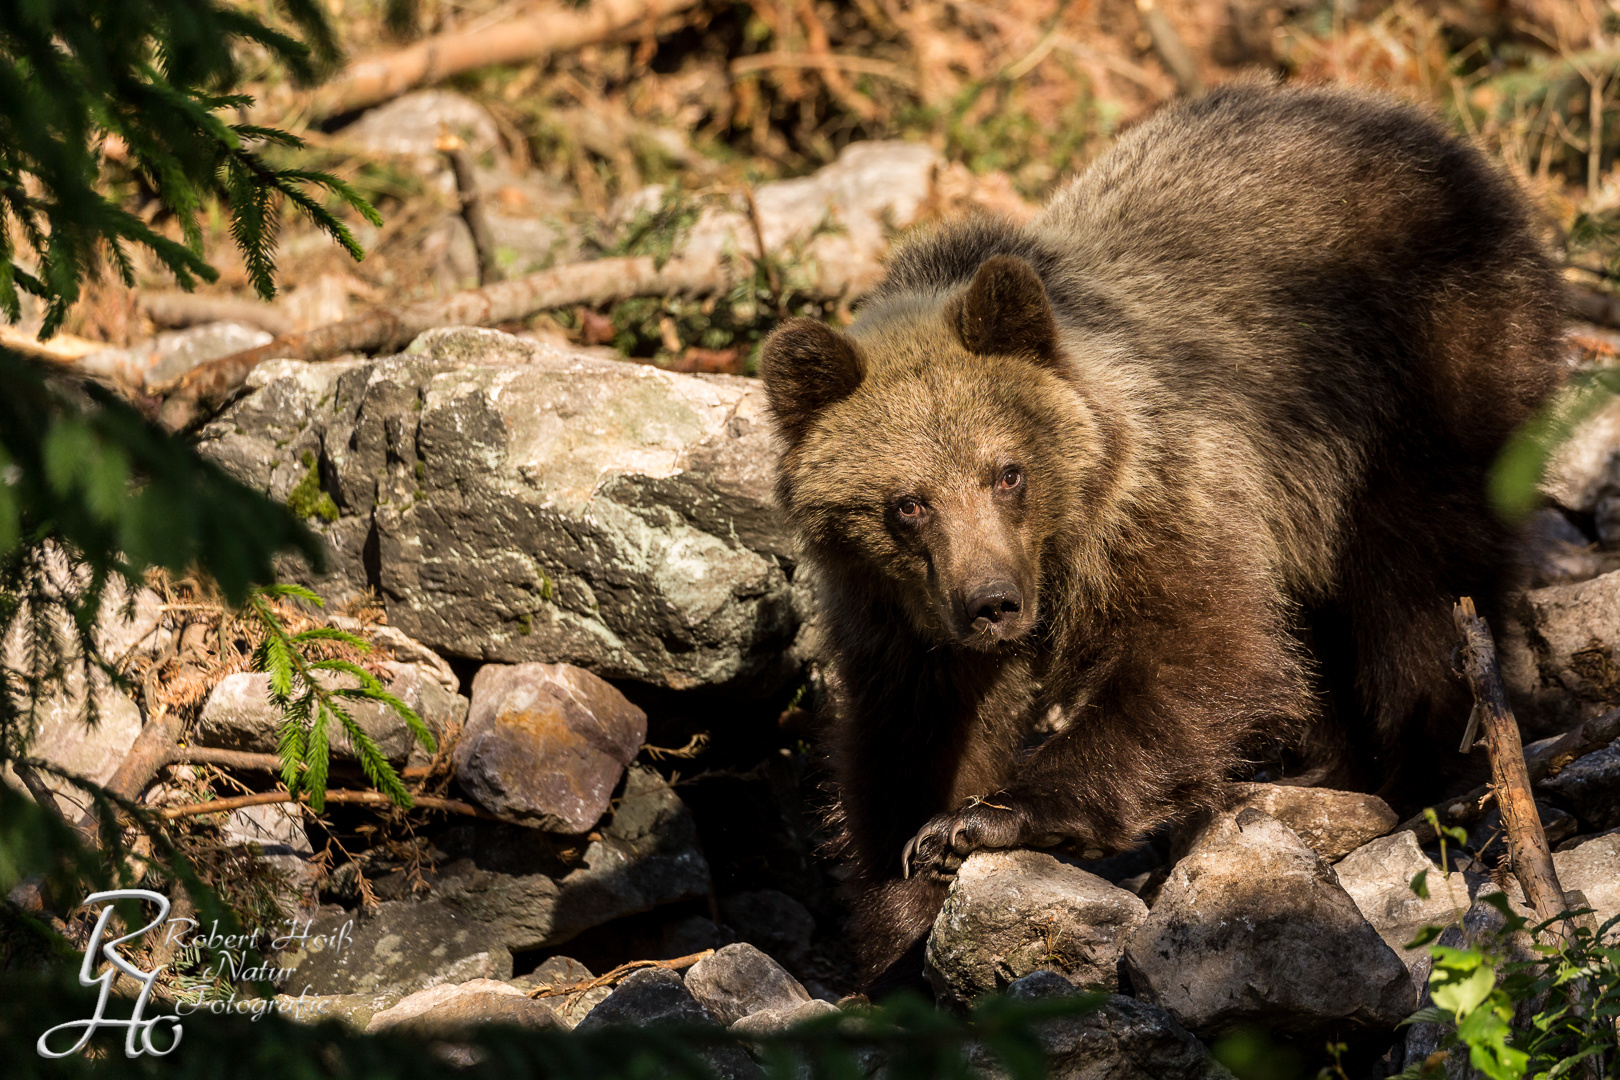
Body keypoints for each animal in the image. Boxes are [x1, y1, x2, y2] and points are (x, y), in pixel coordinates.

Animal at [754, 84, 1568, 990]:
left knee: (1417, 581)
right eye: (907, 504)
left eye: (1008, 471)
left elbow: (1203, 649)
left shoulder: (1161, 495)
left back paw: (1424, 769)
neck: (1060, 549)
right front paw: (897, 909)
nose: (992, 603)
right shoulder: (898, 615)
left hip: (1423, 378)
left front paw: (987, 819)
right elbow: (911, 736)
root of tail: (1436, 135)